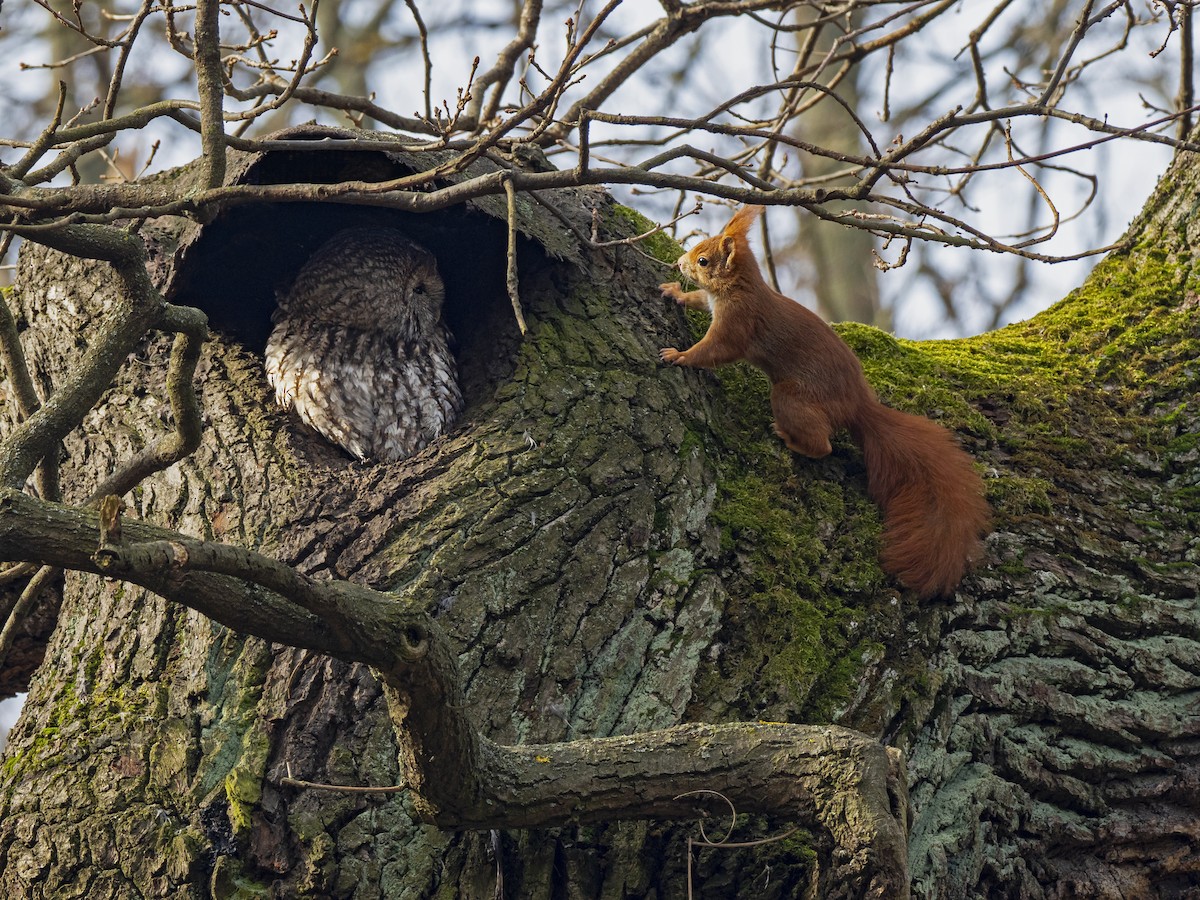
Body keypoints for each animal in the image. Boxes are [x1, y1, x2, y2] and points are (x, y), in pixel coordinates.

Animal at [662, 205, 988, 600]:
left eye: (703, 260)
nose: (679, 263)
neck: (740, 287)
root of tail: (859, 406)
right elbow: (698, 301)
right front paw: (674, 293)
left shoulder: (739, 322)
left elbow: (715, 350)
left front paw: (680, 356)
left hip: (792, 398)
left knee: (823, 445)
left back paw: (790, 439)